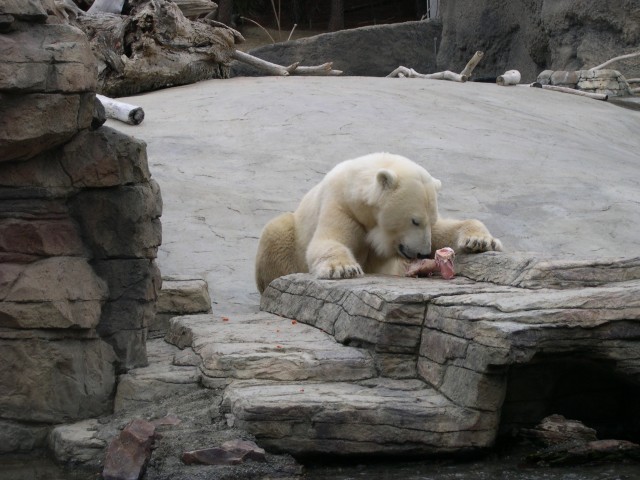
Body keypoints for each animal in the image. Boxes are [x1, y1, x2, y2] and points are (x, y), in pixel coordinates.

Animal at [254, 154, 500, 294]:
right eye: (415, 220)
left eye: (430, 220)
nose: (423, 253)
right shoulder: (342, 207)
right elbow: (328, 240)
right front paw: (344, 269)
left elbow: (444, 231)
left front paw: (480, 241)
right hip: (290, 235)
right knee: (275, 233)